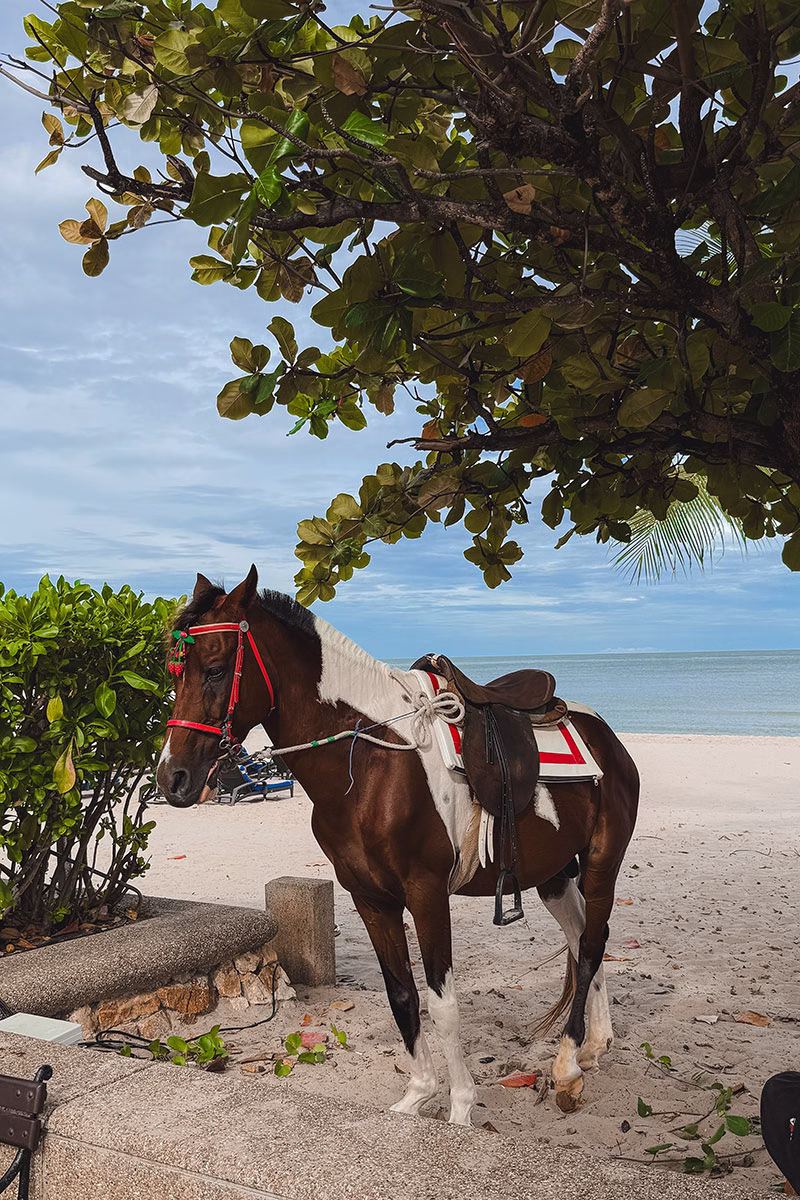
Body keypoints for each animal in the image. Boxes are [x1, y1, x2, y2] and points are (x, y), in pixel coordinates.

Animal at [157, 566, 640, 1122]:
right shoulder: (371, 898)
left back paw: (566, 1064)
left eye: (215, 670)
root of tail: (603, 733)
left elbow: (442, 1005)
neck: (371, 763)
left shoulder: (426, 895)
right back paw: (591, 1047)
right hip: (553, 875)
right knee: (582, 939)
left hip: (602, 862)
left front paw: (459, 1110)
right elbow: (402, 995)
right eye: (174, 673)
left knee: (593, 943)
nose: (172, 778)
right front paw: (416, 1097)